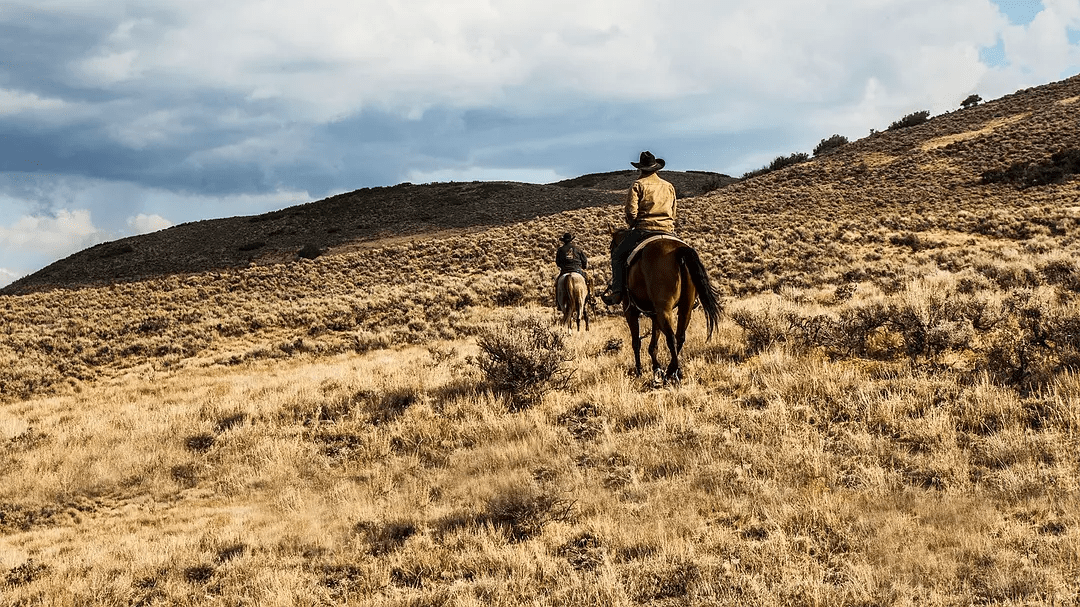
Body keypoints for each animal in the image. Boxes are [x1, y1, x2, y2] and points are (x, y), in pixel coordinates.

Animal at [613, 226, 721, 382]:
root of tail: (678, 251)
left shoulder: (630, 311)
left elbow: (636, 342)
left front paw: (639, 371)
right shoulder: (654, 314)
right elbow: (653, 344)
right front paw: (656, 368)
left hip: (664, 308)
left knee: (671, 338)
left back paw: (673, 372)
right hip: (685, 306)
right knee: (680, 336)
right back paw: (671, 370)